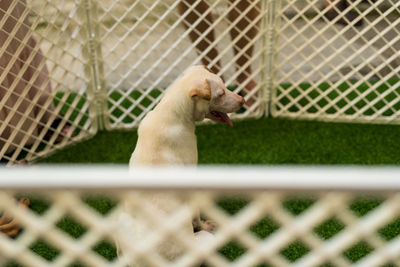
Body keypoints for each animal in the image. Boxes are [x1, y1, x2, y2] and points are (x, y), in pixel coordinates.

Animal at [117, 65, 244, 266]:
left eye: (225, 86)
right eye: (221, 93)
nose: (243, 100)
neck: (172, 114)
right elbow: (196, 215)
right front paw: (204, 223)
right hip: (206, 241)